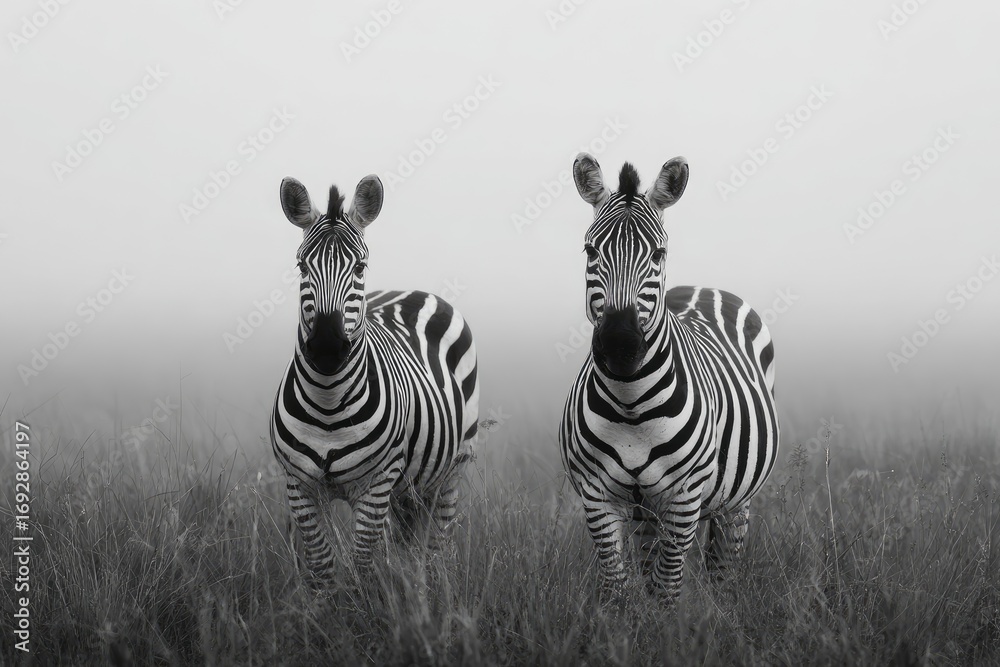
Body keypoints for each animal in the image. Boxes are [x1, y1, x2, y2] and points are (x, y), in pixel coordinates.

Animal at [270, 174, 479, 584]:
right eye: (301, 266)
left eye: (360, 268)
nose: (327, 347)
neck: (328, 403)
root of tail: (411, 291)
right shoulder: (298, 485)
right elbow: (322, 566)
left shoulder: (377, 482)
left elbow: (364, 564)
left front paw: (365, 600)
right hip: (405, 487)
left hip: (452, 470)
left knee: (438, 544)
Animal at [559, 153, 779, 601]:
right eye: (590, 250)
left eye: (658, 254)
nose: (620, 344)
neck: (630, 402)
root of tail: (703, 287)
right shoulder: (597, 497)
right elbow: (619, 590)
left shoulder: (684, 498)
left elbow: (666, 590)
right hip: (645, 510)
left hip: (737, 501)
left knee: (723, 566)